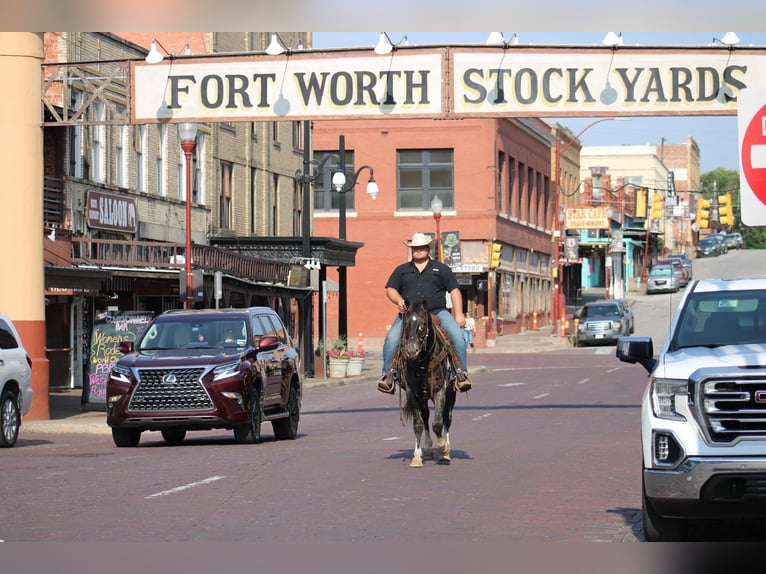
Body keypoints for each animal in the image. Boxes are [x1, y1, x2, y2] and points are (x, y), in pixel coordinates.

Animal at [400, 302, 460, 468]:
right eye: (406, 324)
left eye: (423, 324)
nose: (411, 350)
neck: (422, 362)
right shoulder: (412, 392)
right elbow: (418, 424)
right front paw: (416, 456)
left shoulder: (440, 391)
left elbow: (438, 424)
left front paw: (443, 449)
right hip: (423, 397)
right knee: (425, 416)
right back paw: (426, 449)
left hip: (450, 396)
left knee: (447, 418)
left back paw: (447, 449)